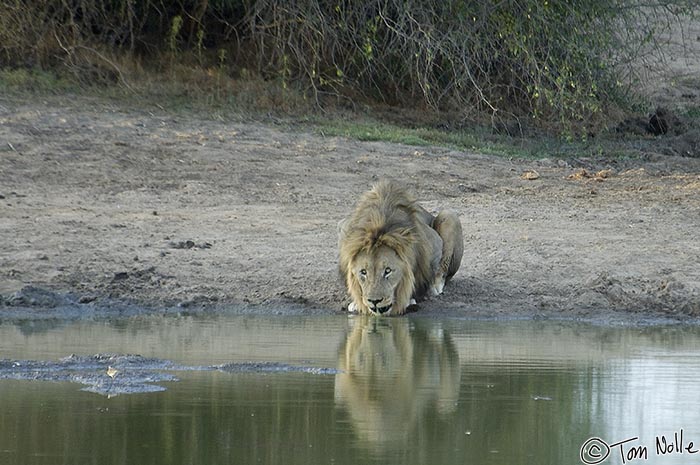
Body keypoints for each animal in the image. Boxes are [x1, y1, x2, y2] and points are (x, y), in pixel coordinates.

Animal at [338, 179, 462, 316]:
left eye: (388, 270)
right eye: (363, 272)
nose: (374, 301)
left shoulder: (434, 242)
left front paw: (409, 298)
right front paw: (355, 302)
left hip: (449, 215)